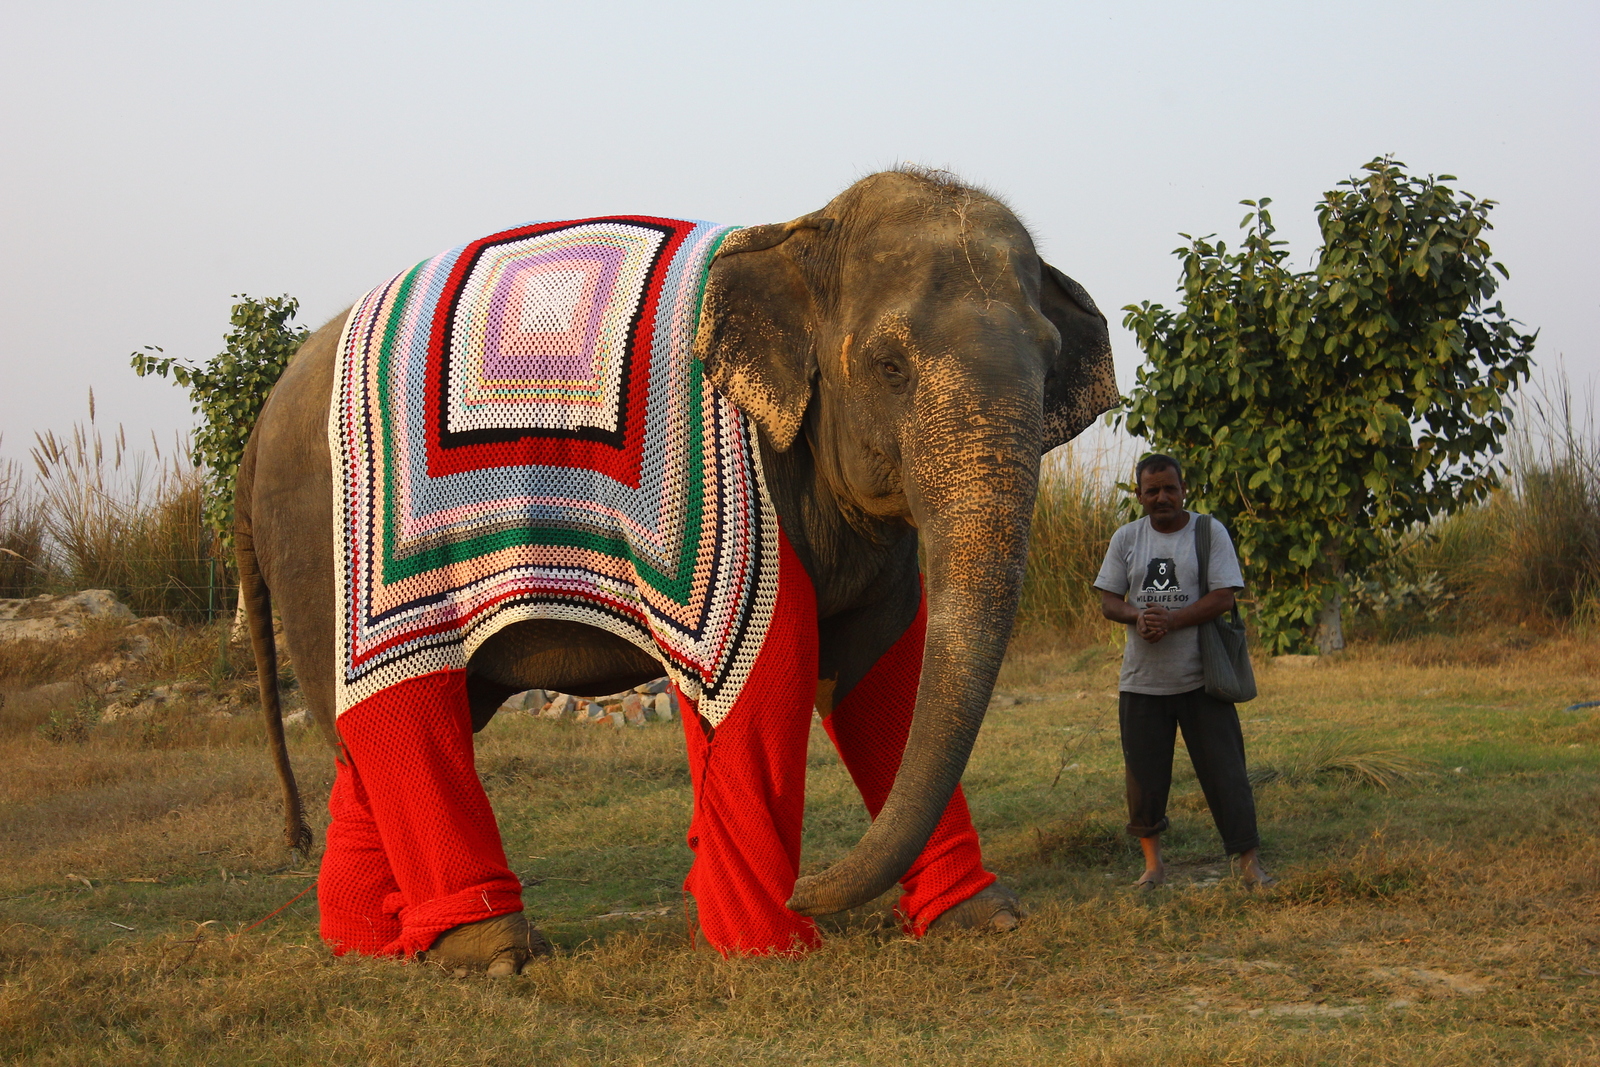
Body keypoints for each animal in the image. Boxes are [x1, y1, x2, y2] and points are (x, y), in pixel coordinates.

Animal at [236, 168, 1120, 979]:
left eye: (1048, 361)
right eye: (889, 366)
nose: (809, 888)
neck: (800, 232)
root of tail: (261, 418)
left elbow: (884, 674)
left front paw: (986, 916)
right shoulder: (729, 503)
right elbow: (768, 669)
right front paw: (770, 944)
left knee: (371, 740)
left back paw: (374, 943)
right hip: (328, 541)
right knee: (404, 713)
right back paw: (495, 950)